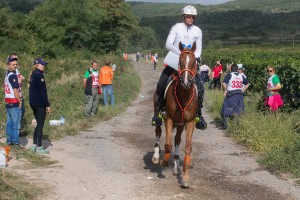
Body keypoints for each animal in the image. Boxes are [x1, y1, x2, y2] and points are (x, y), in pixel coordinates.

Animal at [152, 41, 199, 188]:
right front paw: (164, 161)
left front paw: (185, 177)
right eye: (180, 61)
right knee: (158, 132)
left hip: (180, 124)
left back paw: (176, 166)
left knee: (177, 139)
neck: (184, 95)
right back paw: (156, 156)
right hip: (158, 115)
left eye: (194, 62)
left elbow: (188, 148)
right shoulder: (169, 119)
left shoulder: (189, 123)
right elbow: (167, 145)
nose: (186, 82)